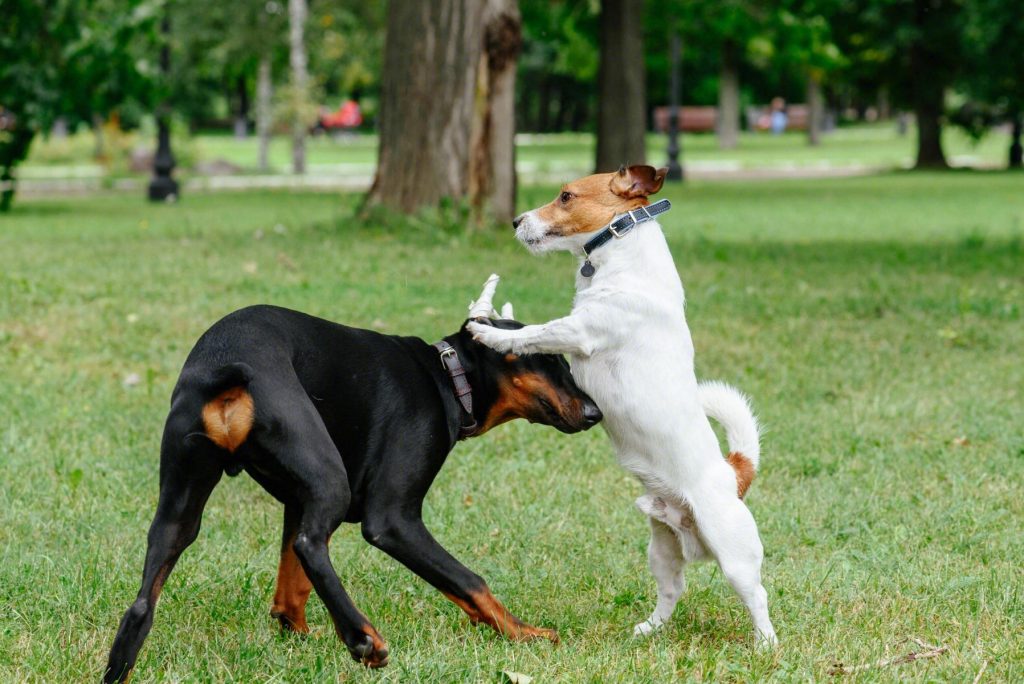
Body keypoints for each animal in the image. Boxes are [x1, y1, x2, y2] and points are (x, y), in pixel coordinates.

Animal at [103, 274, 598, 679]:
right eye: (548, 360)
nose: (596, 412)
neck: (447, 376)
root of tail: (230, 366)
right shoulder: (393, 519)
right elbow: (469, 580)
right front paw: (524, 633)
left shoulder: (297, 500)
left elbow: (291, 587)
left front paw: (297, 633)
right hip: (329, 479)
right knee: (310, 545)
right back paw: (363, 639)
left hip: (181, 502)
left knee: (144, 602)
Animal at [468, 165, 774, 647]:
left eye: (566, 196)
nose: (516, 221)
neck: (622, 256)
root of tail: (734, 473)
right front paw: (488, 308)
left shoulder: (579, 331)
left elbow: (533, 332)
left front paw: (490, 334)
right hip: (662, 546)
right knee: (673, 589)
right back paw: (648, 629)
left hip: (735, 555)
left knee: (756, 596)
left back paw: (765, 644)